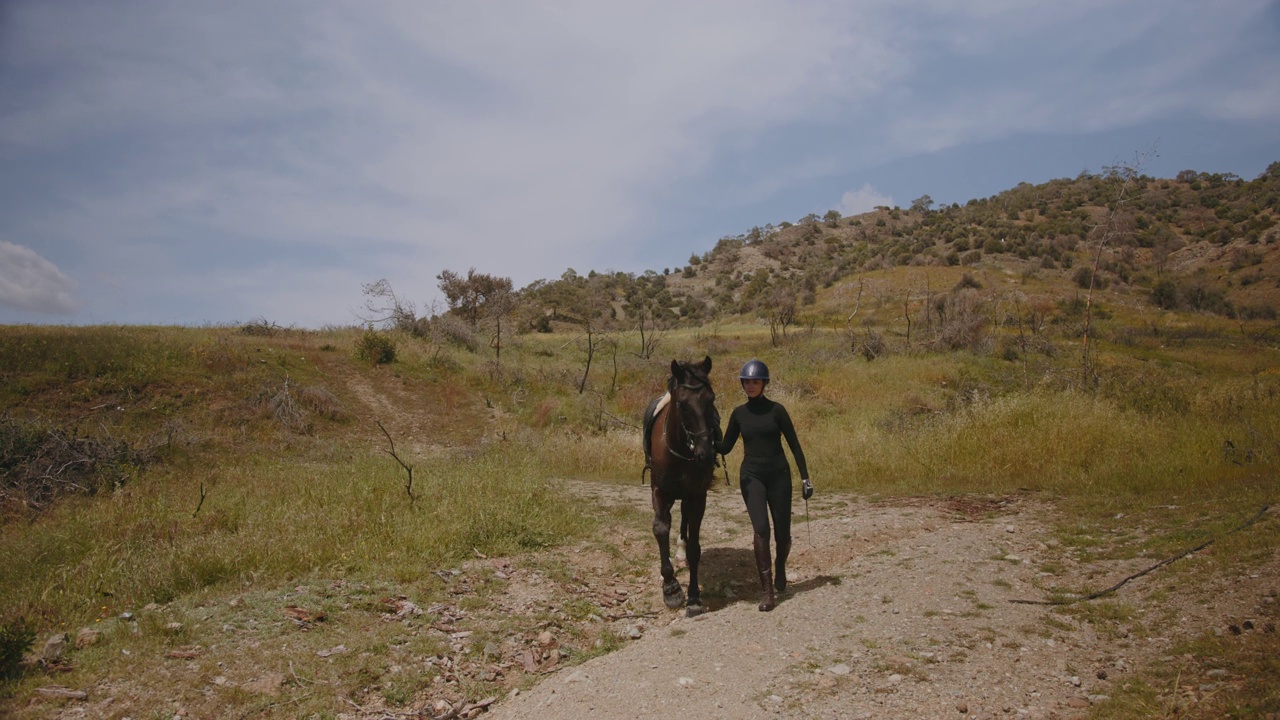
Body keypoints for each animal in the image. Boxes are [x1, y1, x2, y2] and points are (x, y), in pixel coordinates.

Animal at [640, 356, 721, 614]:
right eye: (683, 404)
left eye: (711, 399)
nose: (705, 454)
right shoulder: (659, 492)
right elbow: (660, 528)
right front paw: (671, 589)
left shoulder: (697, 496)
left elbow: (695, 546)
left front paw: (694, 596)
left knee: (685, 521)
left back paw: (681, 550)